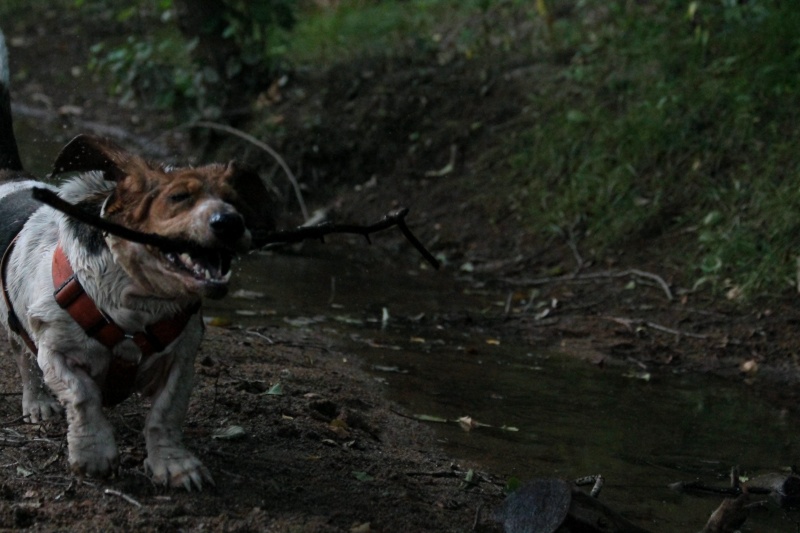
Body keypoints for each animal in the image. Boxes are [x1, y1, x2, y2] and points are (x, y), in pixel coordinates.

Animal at [0, 30, 272, 486]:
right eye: (178, 198)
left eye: (234, 199)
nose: (231, 223)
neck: (136, 302)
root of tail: (12, 181)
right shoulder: (55, 350)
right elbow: (82, 395)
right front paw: (93, 452)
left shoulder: (182, 356)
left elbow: (166, 413)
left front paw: (175, 465)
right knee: (23, 358)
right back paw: (37, 403)